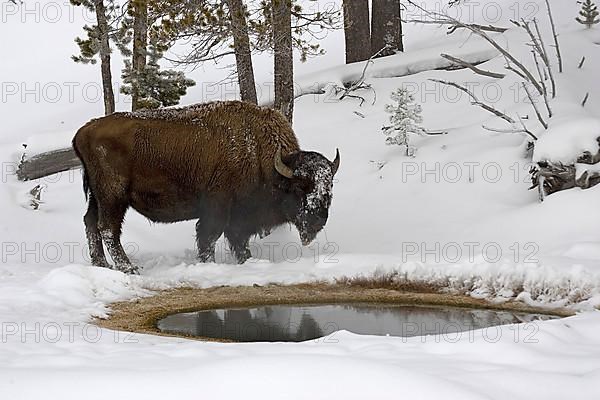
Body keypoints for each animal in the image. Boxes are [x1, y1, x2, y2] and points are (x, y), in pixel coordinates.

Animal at [72, 101, 340, 274]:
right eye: (299, 188)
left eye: (329, 188)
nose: (317, 221)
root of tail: (83, 132)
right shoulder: (219, 209)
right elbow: (210, 237)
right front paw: (208, 264)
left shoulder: (238, 219)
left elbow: (237, 241)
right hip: (113, 196)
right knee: (108, 228)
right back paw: (128, 268)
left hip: (98, 197)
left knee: (90, 222)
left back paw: (102, 264)